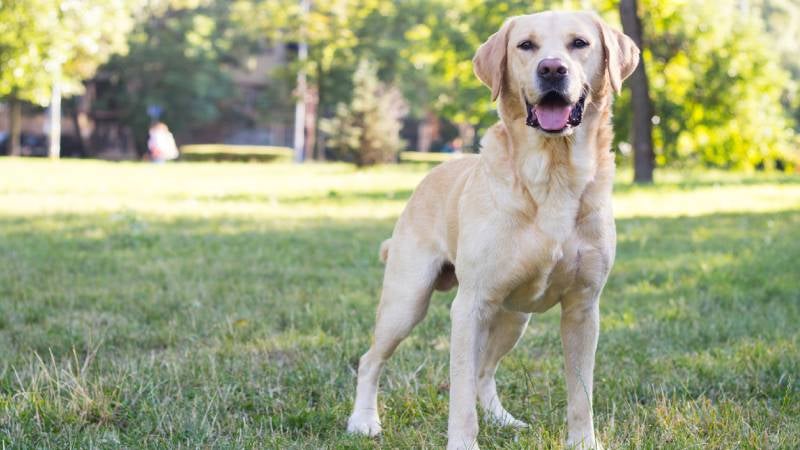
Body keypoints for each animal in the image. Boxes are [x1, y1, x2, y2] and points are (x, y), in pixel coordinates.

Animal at [346, 10, 640, 450]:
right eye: (526, 45)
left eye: (580, 43)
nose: (552, 69)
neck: (553, 174)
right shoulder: (470, 307)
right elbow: (461, 395)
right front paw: (462, 443)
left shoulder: (583, 308)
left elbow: (581, 392)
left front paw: (583, 441)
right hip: (406, 300)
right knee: (371, 360)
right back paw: (364, 420)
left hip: (515, 318)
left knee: (485, 371)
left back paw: (503, 419)